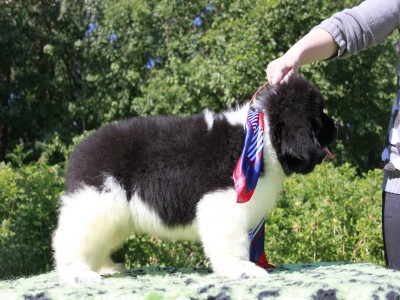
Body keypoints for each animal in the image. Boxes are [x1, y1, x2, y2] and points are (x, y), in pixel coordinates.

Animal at [51, 76, 336, 282]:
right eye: (319, 117)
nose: (337, 126)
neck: (262, 139)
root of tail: (80, 149)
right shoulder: (223, 201)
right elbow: (232, 242)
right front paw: (242, 269)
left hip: (113, 213)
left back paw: (106, 267)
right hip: (96, 202)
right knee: (69, 240)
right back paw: (78, 273)